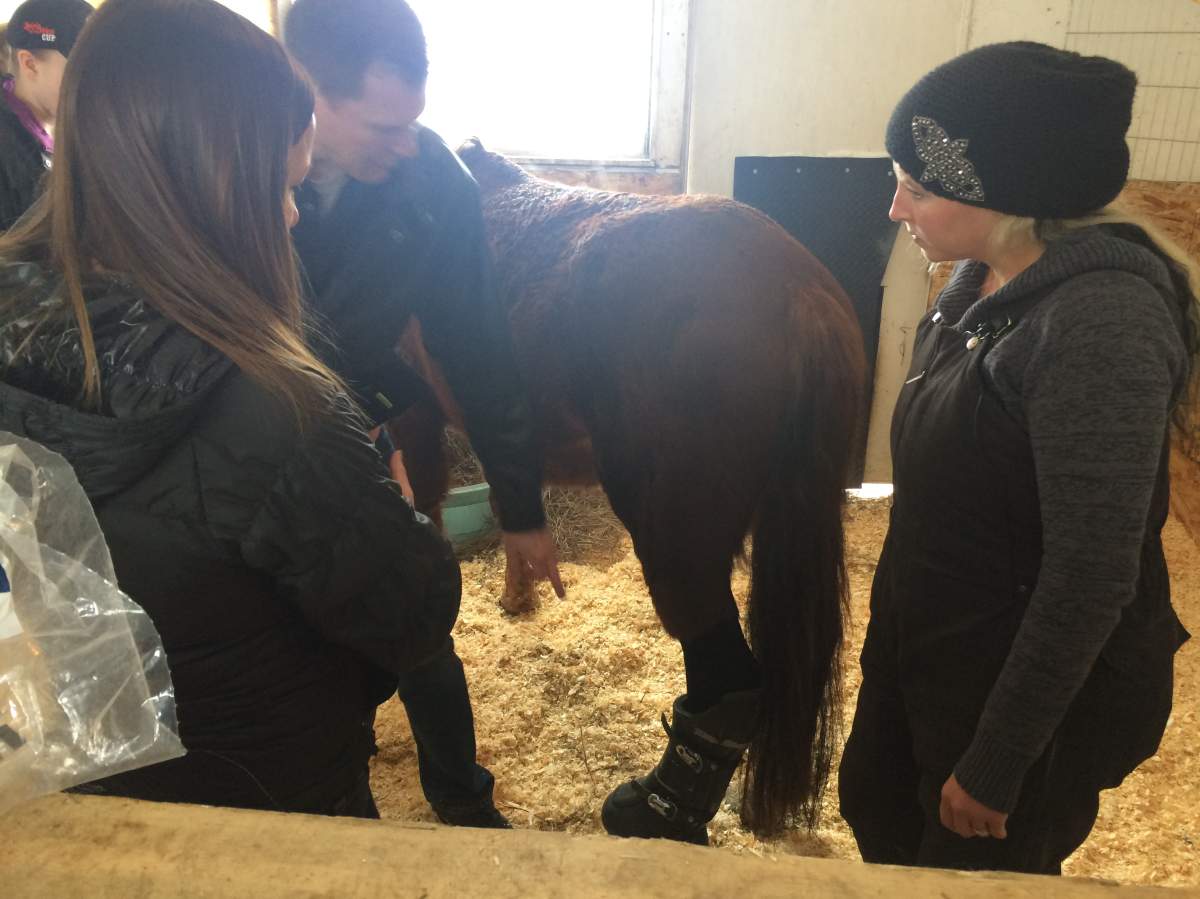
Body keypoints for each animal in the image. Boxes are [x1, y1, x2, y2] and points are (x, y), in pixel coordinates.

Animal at [391, 139, 866, 837]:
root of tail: (795, 290)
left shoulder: (418, 415)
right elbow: (513, 506)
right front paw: (518, 596)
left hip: (676, 542)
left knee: (726, 674)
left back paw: (653, 811)